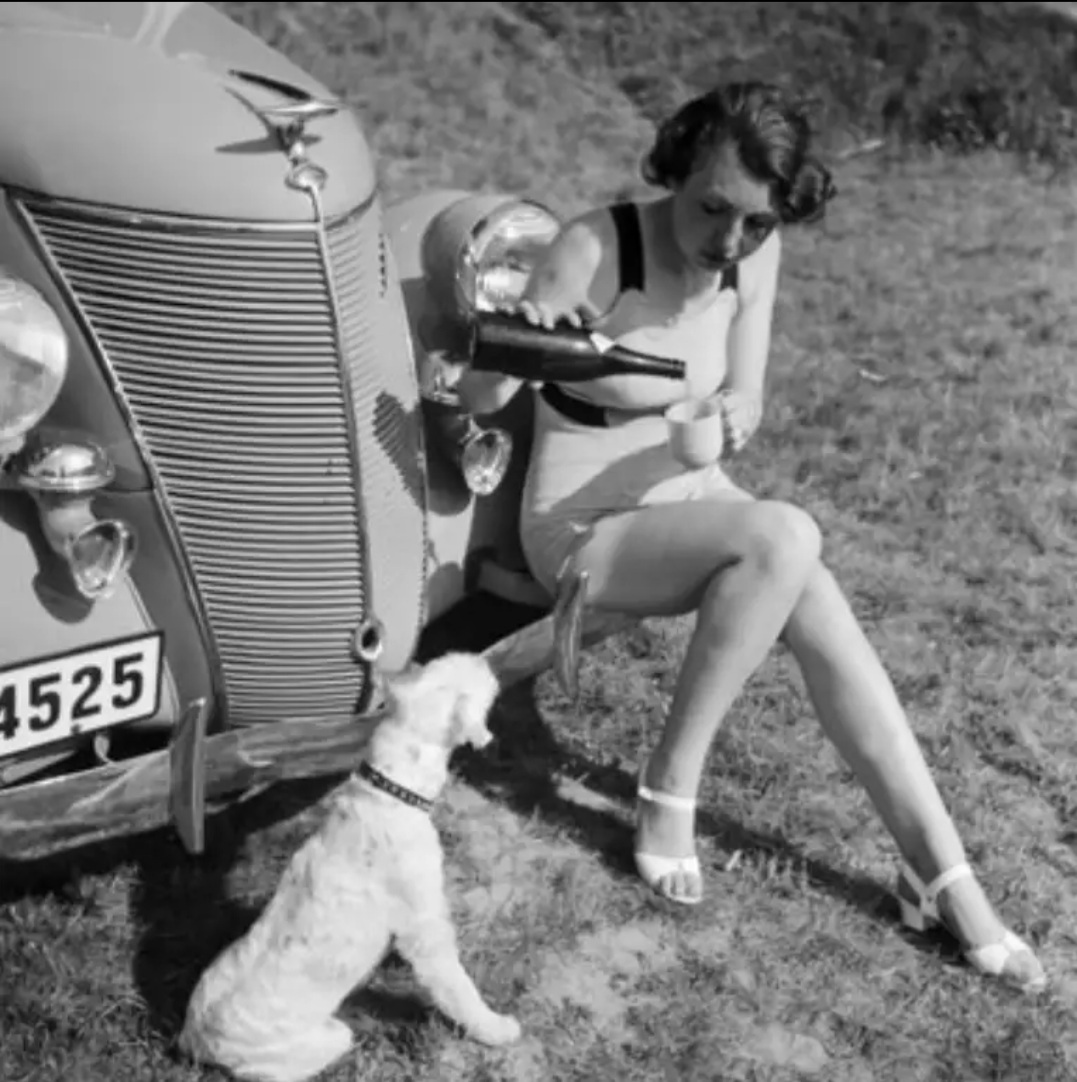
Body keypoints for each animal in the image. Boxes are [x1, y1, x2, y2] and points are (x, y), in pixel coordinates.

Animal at [177, 651, 521, 1082]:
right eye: (469, 676)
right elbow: (459, 990)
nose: (485, 662)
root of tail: (193, 1038)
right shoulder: (427, 932)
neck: (390, 793)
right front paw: (497, 1029)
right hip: (323, 1042)